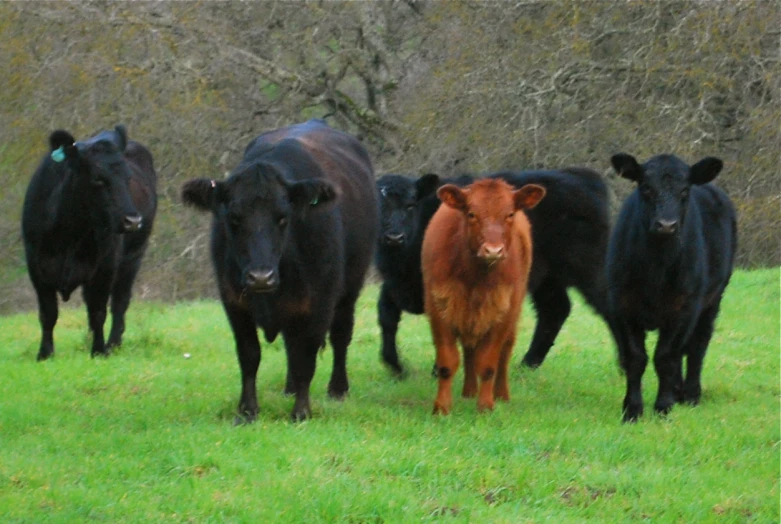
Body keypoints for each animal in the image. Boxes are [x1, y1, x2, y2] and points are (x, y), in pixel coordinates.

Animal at [22, 125, 158, 360]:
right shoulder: (36, 266)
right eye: (98, 179)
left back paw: (113, 344)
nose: (133, 221)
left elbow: (98, 311)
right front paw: (45, 353)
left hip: (133, 257)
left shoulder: (105, 266)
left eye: (128, 178)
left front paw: (99, 351)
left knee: (120, 302)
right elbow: (48, 313)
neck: (68, 235)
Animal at [183, 119, 378, 422]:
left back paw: (338, 388)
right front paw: (247, 410)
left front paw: (301, 411)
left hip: (351, 287)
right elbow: (250, 355)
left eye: (283, 218)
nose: (260, 277)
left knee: (340, 335)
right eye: (234, 218)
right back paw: (289, 388)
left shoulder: (318, 302)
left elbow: (307, 357)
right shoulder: (234, 302)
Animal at [376, 168, 608, 376]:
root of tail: (580, 177)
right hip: (547, 279)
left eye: (410, 205)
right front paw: (394, 365)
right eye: (379, 207)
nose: (394, 237)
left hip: (591, 269)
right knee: (555, 309)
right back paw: (527, 365)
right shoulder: (393, 285)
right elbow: (386, 315)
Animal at [420, 179, 544, 414]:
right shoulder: (440, 309)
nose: (493, 250)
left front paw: (486, 406)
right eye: (471, 214)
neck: (475, 279)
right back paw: (469, 390)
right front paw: (442, 407)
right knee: (469, 350)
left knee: (504, 353)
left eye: (510, 214)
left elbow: (488, 364)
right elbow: (447, 363)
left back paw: (501, 394)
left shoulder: (503, 313)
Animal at [604, 154, 736, 424]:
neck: (656, 269)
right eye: (646, 188)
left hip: (712, 300)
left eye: (684, 190)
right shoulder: (621, 306)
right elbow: (635, 358)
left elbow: (665, 358)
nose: (666, 225)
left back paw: (691, 394)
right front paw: (632, 409)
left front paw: (663, 407)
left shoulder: (684, 309)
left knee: (697, 346)